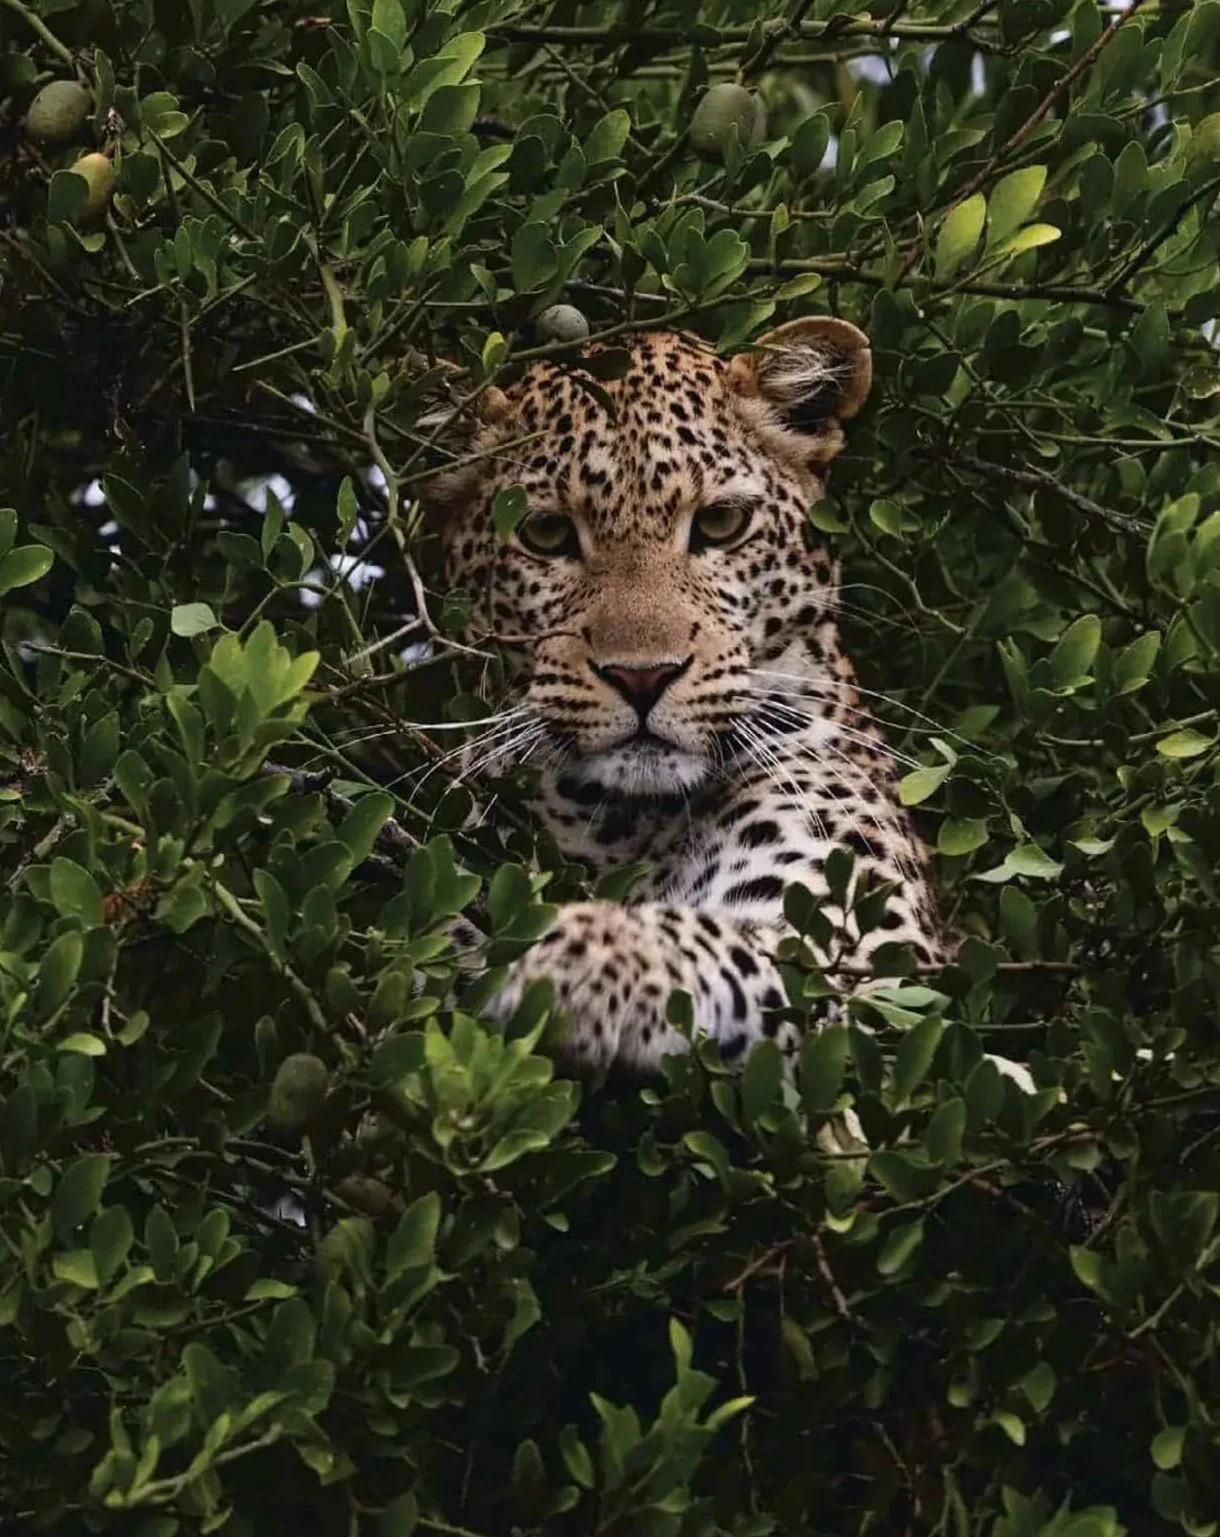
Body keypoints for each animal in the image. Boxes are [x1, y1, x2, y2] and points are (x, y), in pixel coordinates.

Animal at [423, 317, 1034, 1100]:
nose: (643, 676)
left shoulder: (871, 948)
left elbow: (739, 952)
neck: (620, 827)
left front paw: (578, 954)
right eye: (547, 534)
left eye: (718, 524)